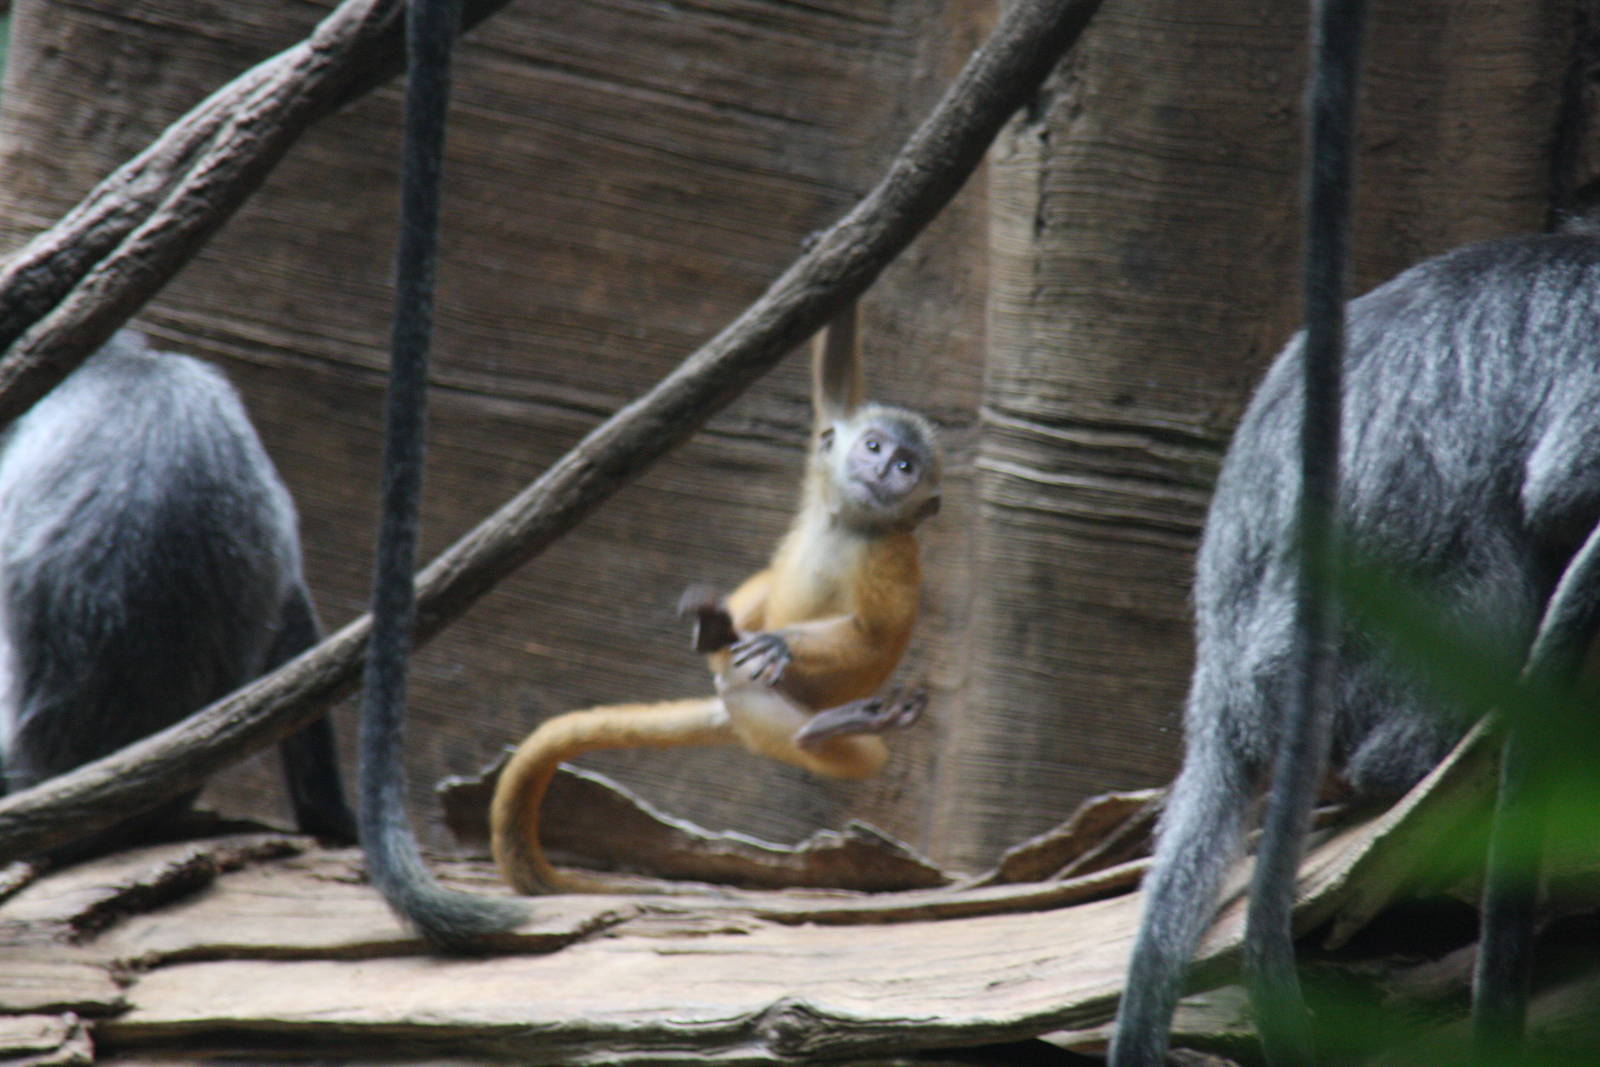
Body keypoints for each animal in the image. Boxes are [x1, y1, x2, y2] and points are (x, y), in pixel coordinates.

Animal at [488, 303, 940, 896]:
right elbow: (836, 391)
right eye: (874, 445)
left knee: (844, 749)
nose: (883, 470)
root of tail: (730, 708)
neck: (855, 523)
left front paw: (780, 644)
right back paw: (717, 632)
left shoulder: (893, 556)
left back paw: (829, 729)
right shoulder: (826, 469)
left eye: (907, 467)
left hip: (777, 712)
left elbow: (874, 634)